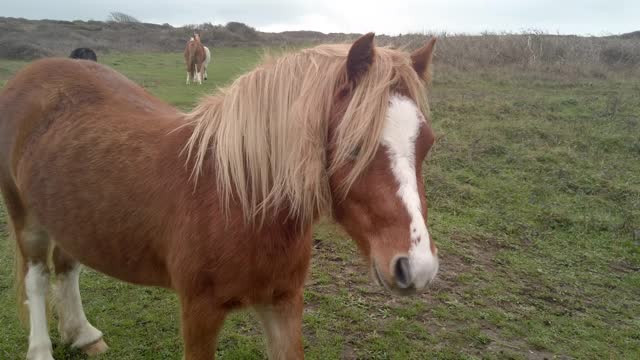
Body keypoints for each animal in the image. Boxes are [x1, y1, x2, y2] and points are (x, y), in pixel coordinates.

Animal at [0, 32, 438, 358]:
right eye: (354, 147)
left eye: (427, 144)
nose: (416, 268)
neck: (239, 200)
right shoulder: (199, 312)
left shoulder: (283, 303)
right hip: (27, 218)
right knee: (37, 278)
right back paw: (40, 349)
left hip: (69, 214)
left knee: (67, 267)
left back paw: (84, 334)